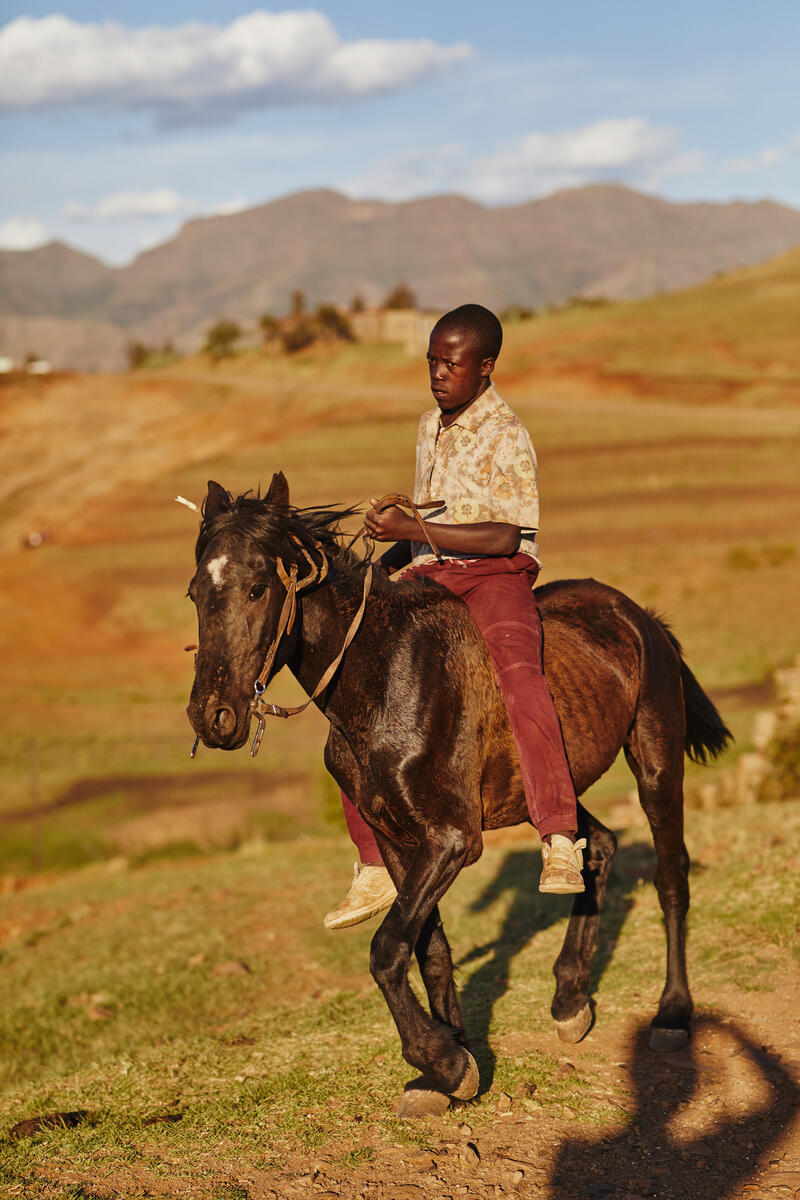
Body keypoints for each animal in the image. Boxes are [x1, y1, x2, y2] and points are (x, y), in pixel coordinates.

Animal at [185, 470, 734, 1113]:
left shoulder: (451, 841)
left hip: (656, 766)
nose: (213, 717)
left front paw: (442, 1061)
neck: (386, 673)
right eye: (195, 594)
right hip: (545, 791)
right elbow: (427, 946)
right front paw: (452, 1060)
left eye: (255, 589)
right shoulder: (398, 839)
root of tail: (637, 615)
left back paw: (671, 1014)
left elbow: (387, 949)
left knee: (671, 877)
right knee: (594, 846)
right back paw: (571, 998)